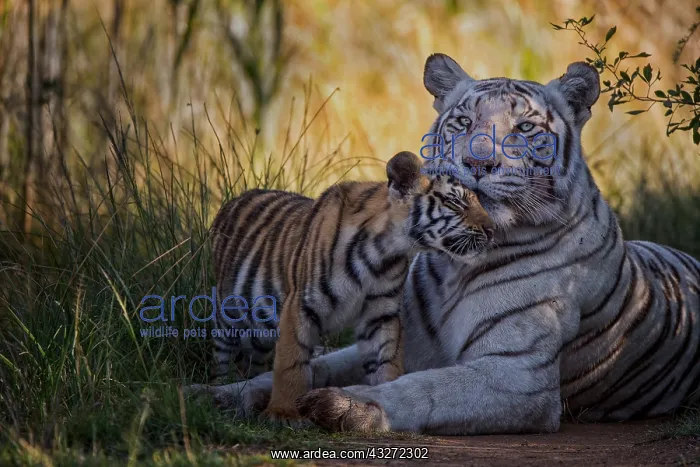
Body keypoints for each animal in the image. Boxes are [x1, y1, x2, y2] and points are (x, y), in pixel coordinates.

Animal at [207, 150, 494, 419]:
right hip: (229, 317)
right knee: (224, 355)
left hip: (260, 335)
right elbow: (291, 361)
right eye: (455, 202)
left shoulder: (381, 313)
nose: (492, 230)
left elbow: (387, 357)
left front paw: (383, 395)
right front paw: (283, 412)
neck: (383, 252)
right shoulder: (299, 304)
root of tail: (232, 201)